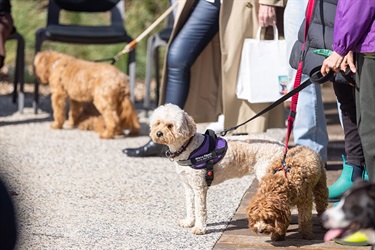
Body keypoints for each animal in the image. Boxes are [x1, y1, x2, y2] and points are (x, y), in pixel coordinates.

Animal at [150, 103, 288, 234]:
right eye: (158, 123)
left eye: (170, 126)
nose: (158, 133)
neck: (187, 148)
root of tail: (281, 146)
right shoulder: (188, 187)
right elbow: (190, 206)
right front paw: (189, 222)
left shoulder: (199, 187)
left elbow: (200, 209)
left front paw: (199, 228)